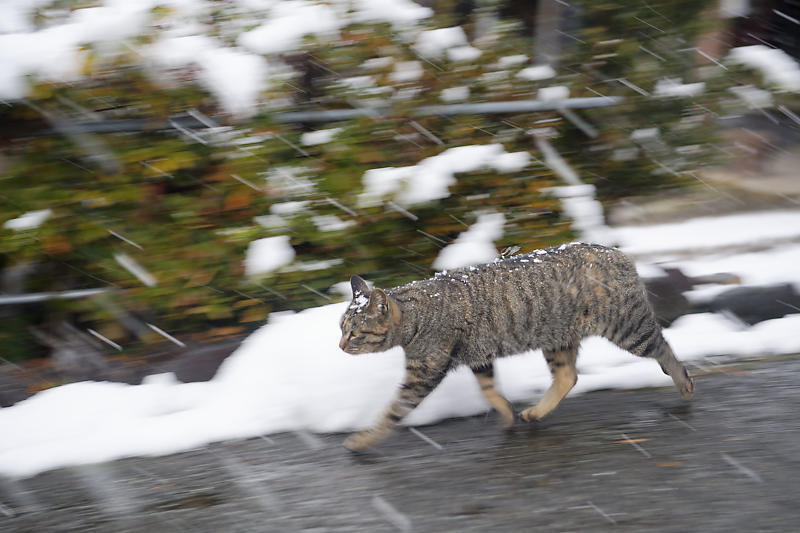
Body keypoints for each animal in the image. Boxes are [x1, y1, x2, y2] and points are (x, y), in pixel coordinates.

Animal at [338, 243, 692, 450]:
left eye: (354, 333)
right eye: (340, 328)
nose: (340, 346)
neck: (415, 315)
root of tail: (617, 252)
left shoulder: (423, 373)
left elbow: (392, 411)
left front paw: (362, 439)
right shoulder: (478, 357)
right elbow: (490, 390)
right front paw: (507, 414)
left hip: (627, 328)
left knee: (663, 347)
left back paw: (683, 381)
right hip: (557, 337)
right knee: (567, 377)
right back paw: (534, 412)